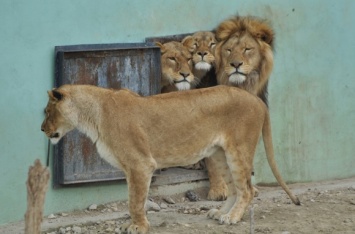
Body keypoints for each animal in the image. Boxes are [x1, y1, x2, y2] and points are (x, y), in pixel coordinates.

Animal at [41, 84, 300, 234]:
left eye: (47, 111)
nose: (42, 129)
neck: (92, 116)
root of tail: (257, 100)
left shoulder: (140, 164)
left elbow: (135, 201)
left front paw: (137, 226)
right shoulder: (133, 168)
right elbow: (133, 199)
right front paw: (134, 224)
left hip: (238, 150)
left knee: (247, 189)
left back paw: (232, 218)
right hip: (219, 154)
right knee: (235, 189)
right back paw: (220, 213)